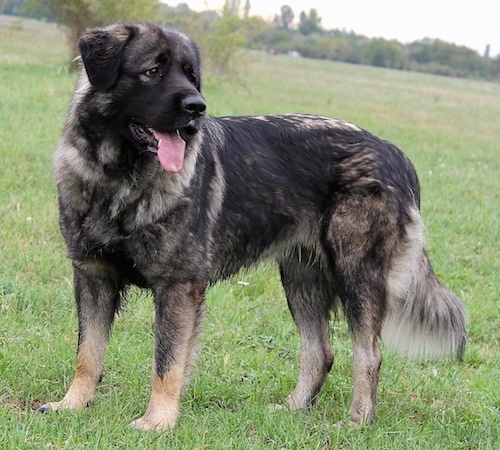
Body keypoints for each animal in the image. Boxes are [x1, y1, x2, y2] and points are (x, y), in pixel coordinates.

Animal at [37, 22, 466, 430]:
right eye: (153, 71)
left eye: (191, 76)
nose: (197, 108)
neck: (121, 180)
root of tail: (395, 154)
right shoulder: (93, 276)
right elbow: (88, 352)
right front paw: (72, 405)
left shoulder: (179, 288)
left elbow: (167, 362)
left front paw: (157, 421)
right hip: (302, 280)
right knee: (320, 351)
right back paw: (293, 408)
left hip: (357, 278)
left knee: (368, 354)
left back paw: (358, 421)